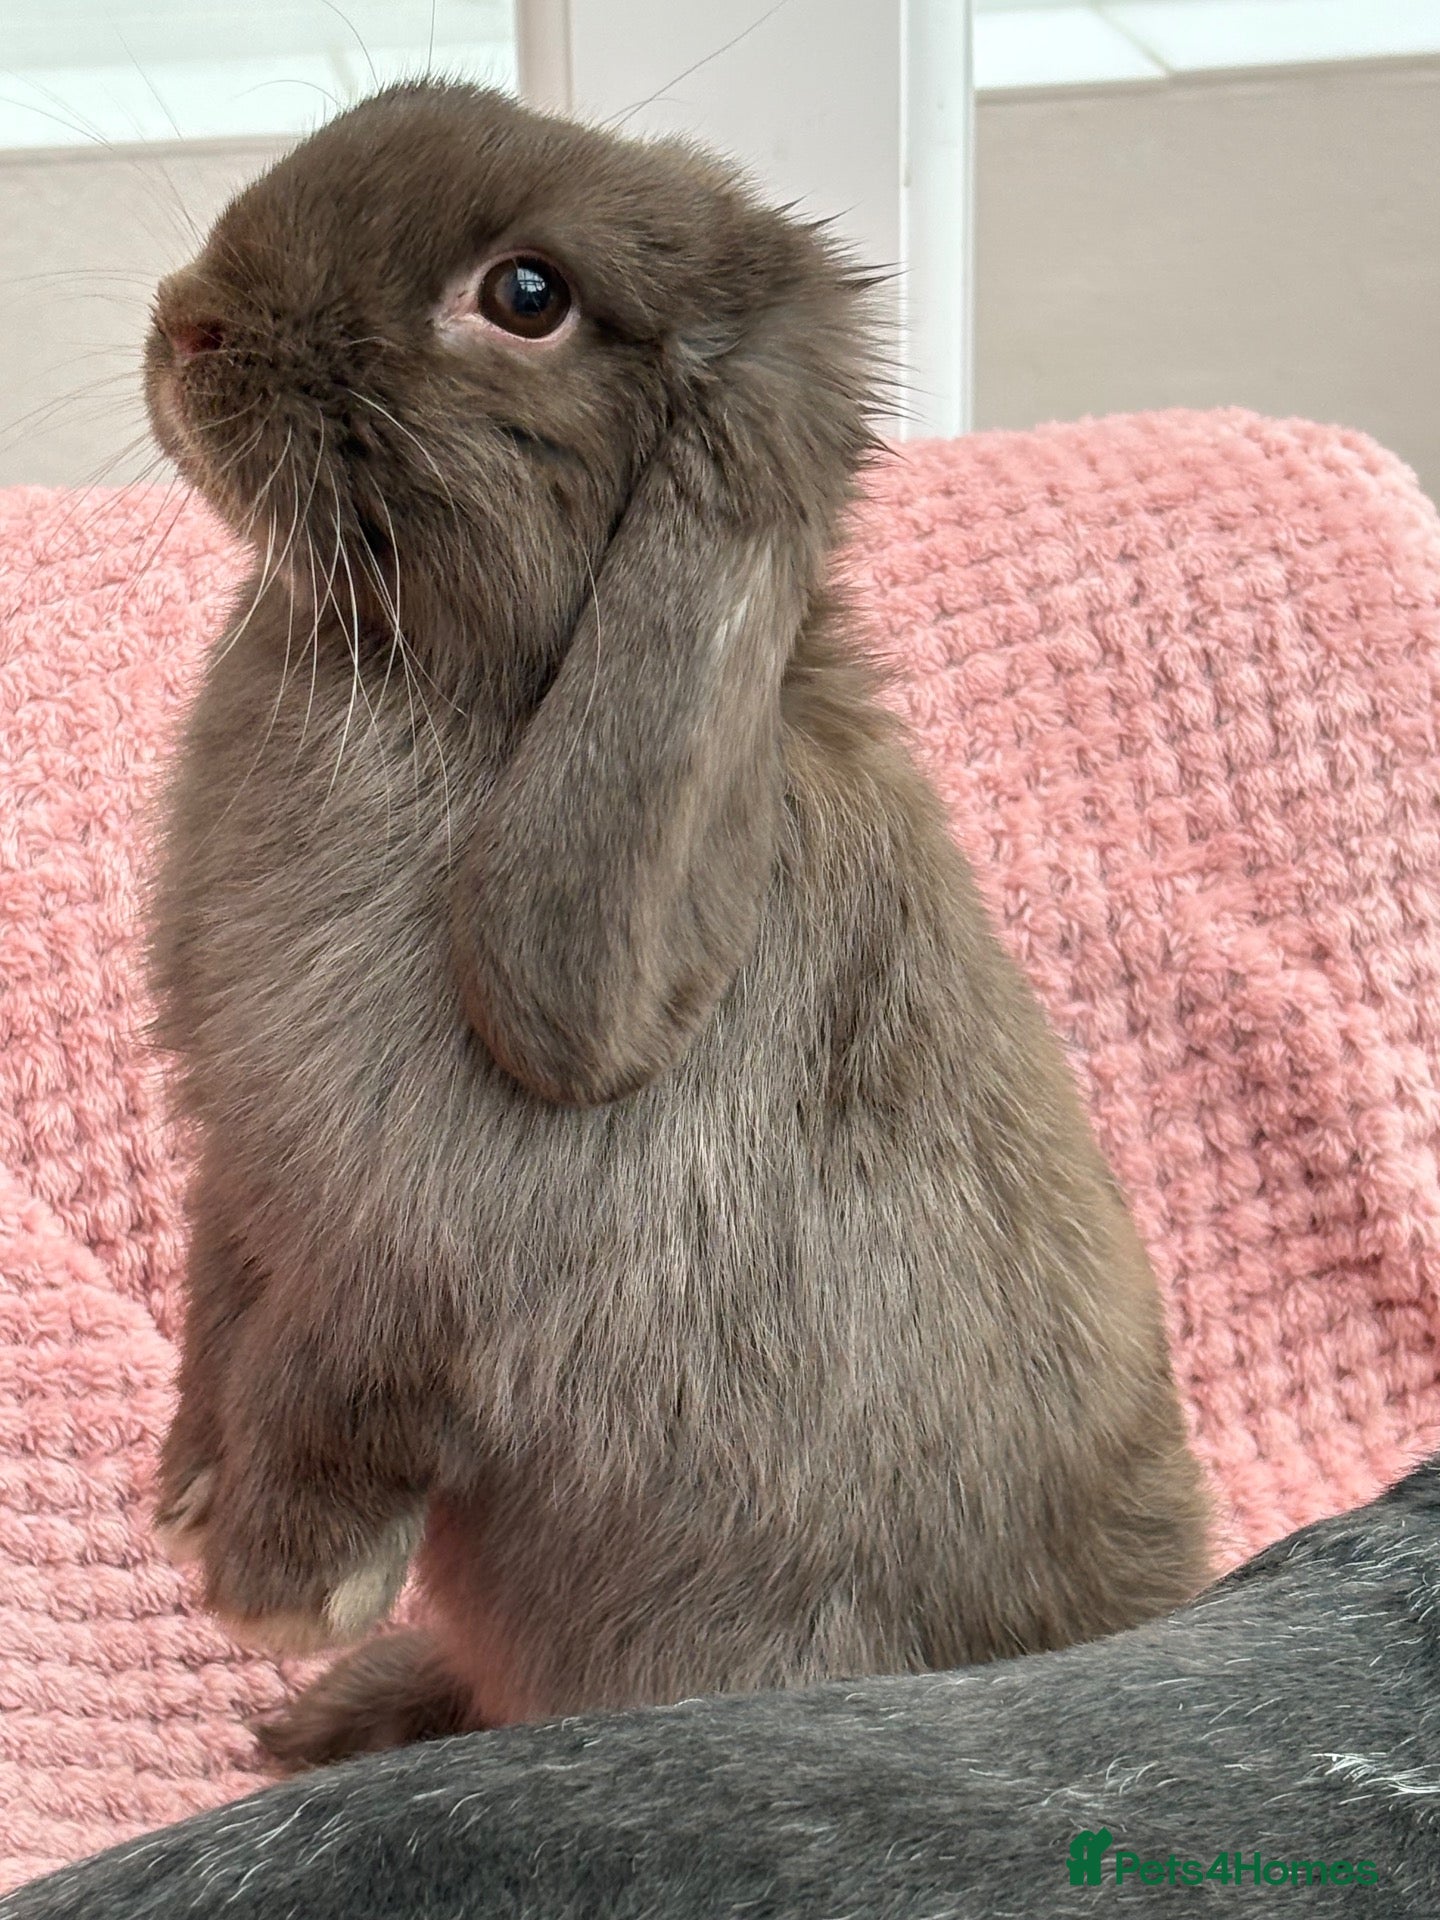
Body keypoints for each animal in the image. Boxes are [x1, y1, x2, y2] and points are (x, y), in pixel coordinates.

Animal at [138, 79, 1208, 1771]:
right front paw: (187, 1503)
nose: (191, 322)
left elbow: (337, 1387)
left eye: (528, 297)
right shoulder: (248, 1177)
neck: (443, 688)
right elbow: (223, 1309)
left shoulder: (421, 1259)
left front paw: (273, 1589)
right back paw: (331, 1724)